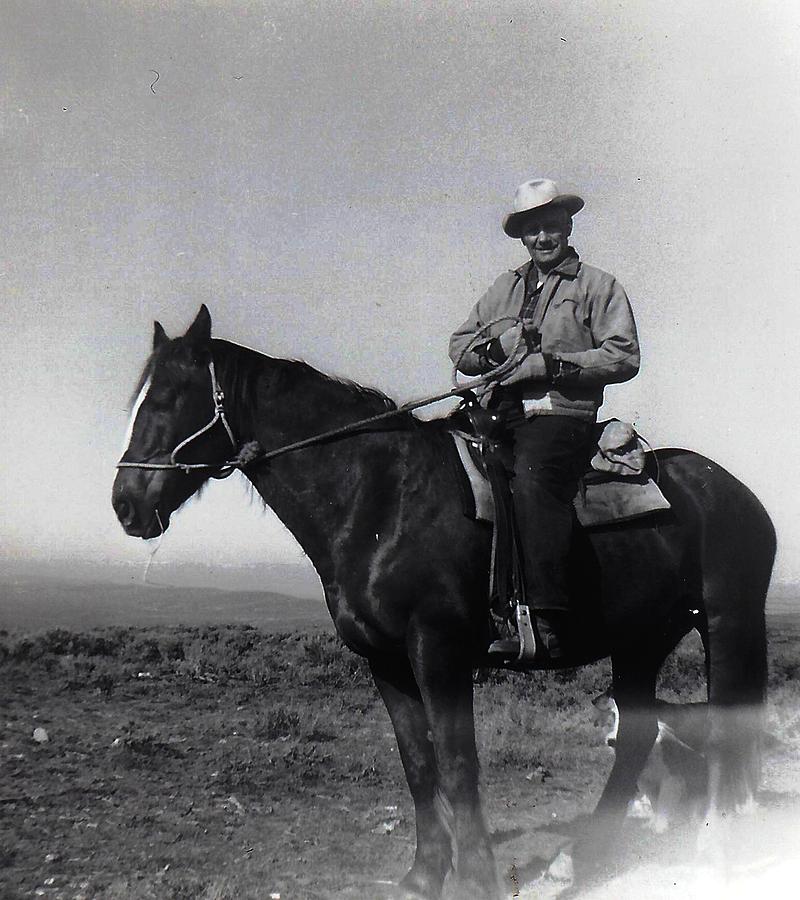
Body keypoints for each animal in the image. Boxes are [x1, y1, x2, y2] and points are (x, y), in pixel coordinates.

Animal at [112, 306, 776, 896]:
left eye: (169, 397)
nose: (126, 504)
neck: (378, 500)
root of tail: (734, 491)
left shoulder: (439, 650)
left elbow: (459, 765)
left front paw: (477, 879)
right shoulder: (384, 659)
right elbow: (419, 763)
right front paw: (423, 875)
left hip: (728, 622)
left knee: (727, 731)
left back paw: (716, 851)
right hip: (642, 640)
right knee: (636, 739)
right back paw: (579, 859)